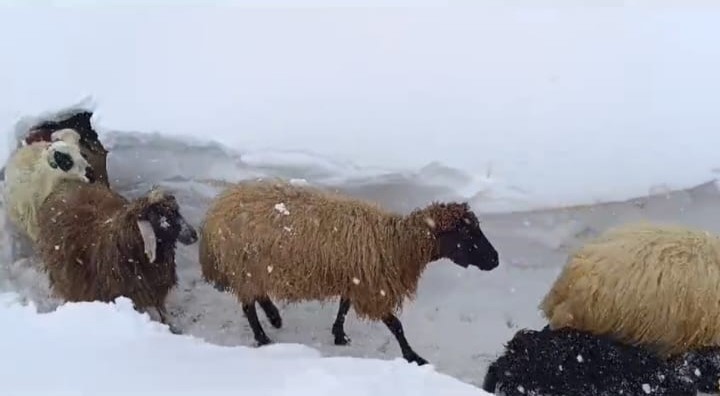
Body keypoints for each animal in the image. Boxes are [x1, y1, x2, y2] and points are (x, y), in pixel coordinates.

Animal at [36, 179, 197, 332]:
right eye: (163, 217)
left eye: (177, 212)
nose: (194, 235)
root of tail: (65, 184)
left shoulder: (155, 288)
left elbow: (162, 311)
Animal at [198, 179, 500, 366]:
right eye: (467, 233)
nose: (496, 260)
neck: (395, 244)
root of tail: (216, 210)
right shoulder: (372, 288)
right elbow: (396, 325)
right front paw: (413, 356)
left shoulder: (355, 278)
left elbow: (344, 305)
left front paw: (339, 334)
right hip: (245, 266)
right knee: (248, 306)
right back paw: (263, 338)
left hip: (253, 269)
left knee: (257, 296)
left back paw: (274, 317)